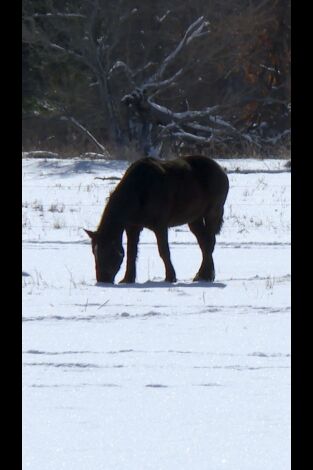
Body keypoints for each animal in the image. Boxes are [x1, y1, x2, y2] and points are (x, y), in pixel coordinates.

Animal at [84, 155, 228, 282]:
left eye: (108, 252)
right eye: (94, 253)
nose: (102, 279)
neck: (139, 190)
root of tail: (221, 170)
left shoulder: (160, 226)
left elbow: (163, 251)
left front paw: (170, 277)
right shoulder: (133, 227)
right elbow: (131, 252)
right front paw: (128, 279)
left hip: (212, 213)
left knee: (209, 243)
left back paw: (207, 275)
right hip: (194, 219)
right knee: (203, 243)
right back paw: (202, 275)